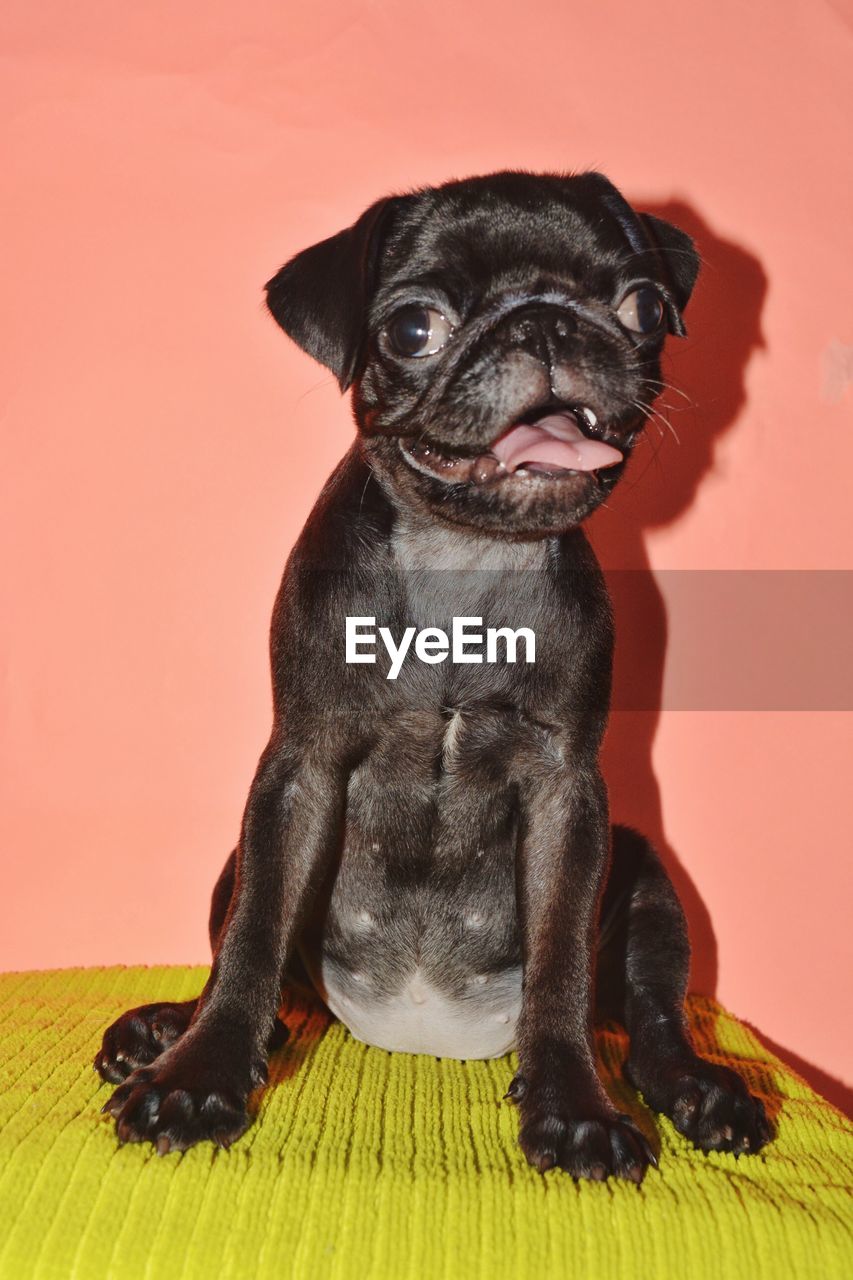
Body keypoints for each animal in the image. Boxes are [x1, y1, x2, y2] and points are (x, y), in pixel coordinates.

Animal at [96, 172, 768, 1187]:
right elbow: (251, 939)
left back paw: (700, 1091)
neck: (464, 554)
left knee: (650, 1016)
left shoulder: (568, 797)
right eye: (413, 329)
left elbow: (561, 961)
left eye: (643, 306)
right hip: (238, 857)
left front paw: (575, 1110)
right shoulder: (298, 770)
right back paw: (167, 1030)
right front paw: (198, 1078)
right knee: (263, 972)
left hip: (648, 879)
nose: (544, 321)